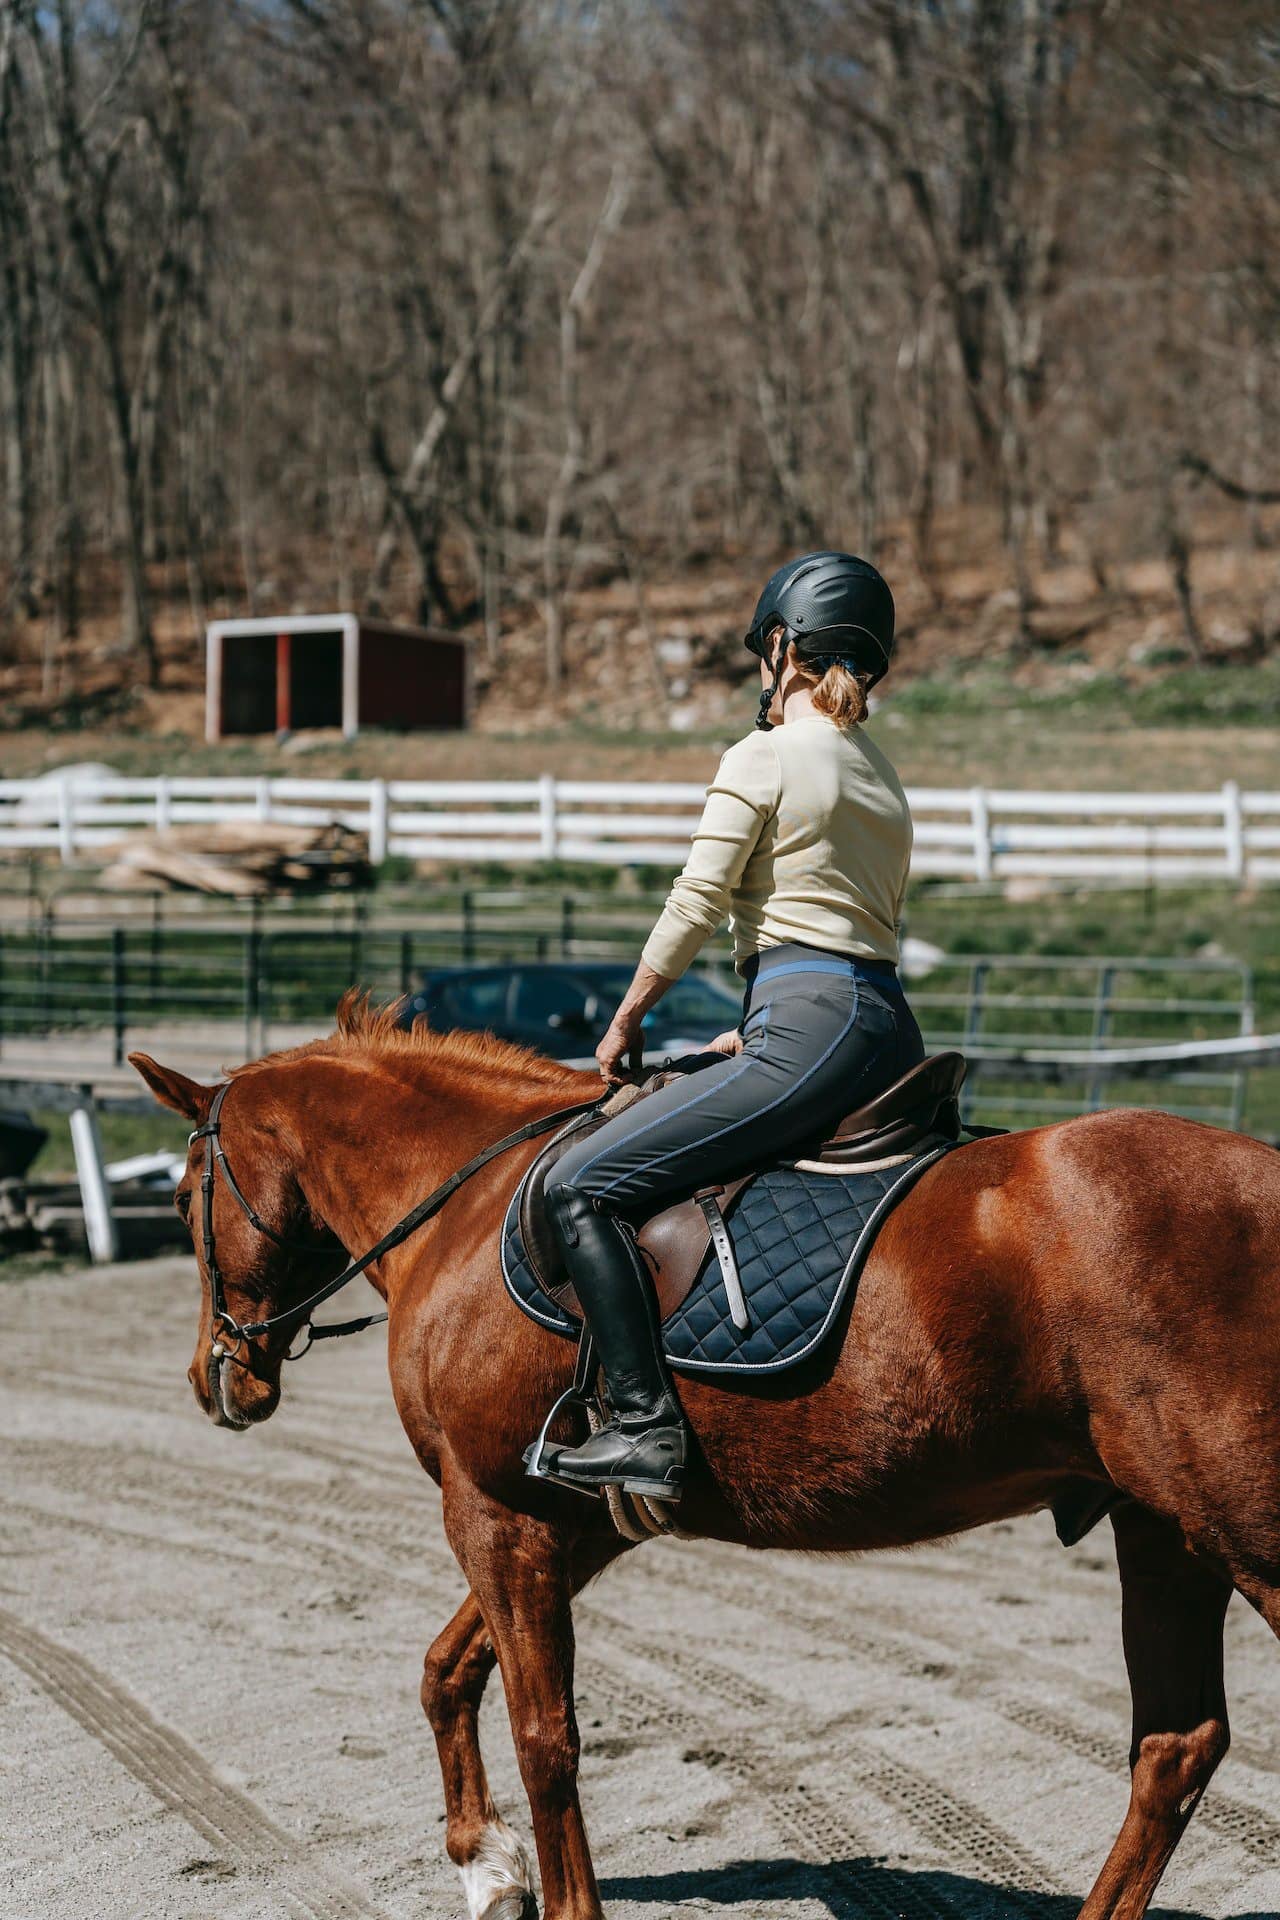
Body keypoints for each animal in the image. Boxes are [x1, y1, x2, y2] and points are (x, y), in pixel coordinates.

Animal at [130, 998, 1280, 1920]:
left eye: (183, 1195)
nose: (214, 1379)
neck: (469, 1203)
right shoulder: (570, 1519)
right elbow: (447, 1671)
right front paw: (484, 1864)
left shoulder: (494, 1512)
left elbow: (544, 1735)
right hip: (1167, 1533)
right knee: (1174, 1747)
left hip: (1241, 1535)